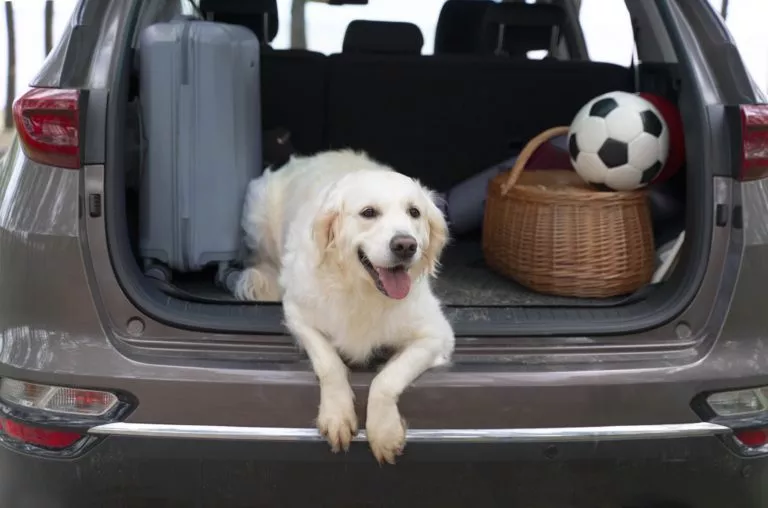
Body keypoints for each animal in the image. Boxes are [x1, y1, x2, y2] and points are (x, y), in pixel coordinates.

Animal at [234, 149, 456, 462]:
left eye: (414, 212)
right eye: (368, 212)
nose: (405, 245)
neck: (362, 291)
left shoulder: (437, 335)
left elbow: (387, 378)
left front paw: (384, 430)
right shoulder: (297, 314)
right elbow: (329, 362)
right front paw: (337, 415)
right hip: (258, 209)